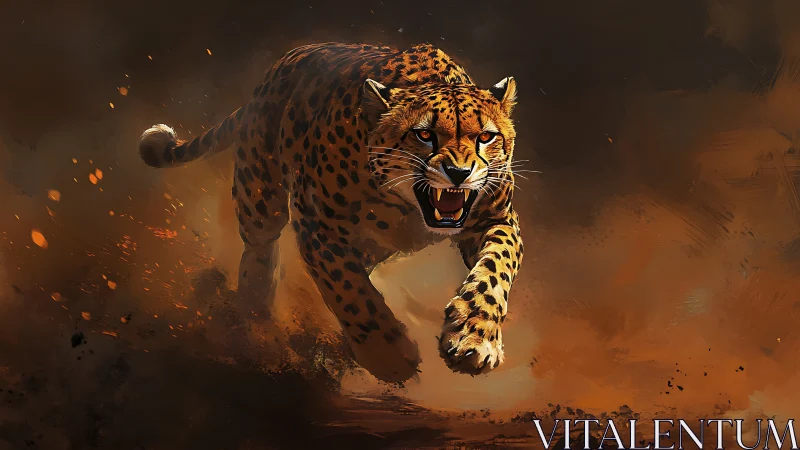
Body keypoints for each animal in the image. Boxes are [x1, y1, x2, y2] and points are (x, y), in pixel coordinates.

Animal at [138, 42, 524, 383]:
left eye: (486, 137)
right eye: (424, 135)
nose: (459, 173)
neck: (407, 209)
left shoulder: (497, 218)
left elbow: (495, 268)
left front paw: (475, 337)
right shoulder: (315, 221)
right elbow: (349, 290)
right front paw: (389, 357)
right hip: (259, 196)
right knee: (260, 250)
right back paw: (255, 324)